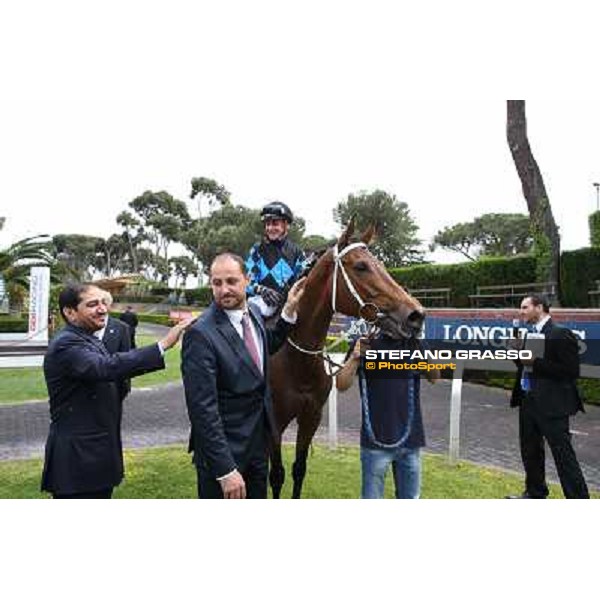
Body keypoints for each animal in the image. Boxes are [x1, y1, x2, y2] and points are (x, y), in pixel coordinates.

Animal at [270, 218, 424, 500]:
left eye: (381, 264)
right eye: (361, 266)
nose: (416, 315)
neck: (296, 360)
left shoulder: (311, 417)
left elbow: (298, 469)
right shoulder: (274, 420)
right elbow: (276, 475)